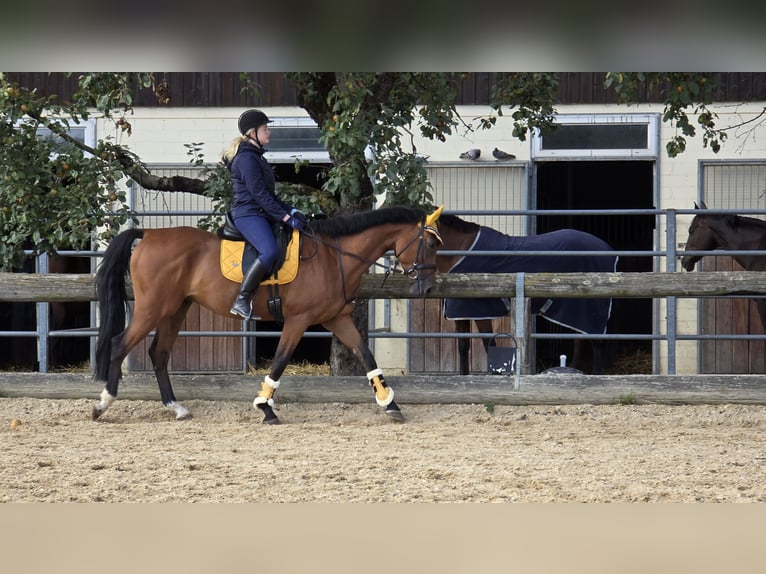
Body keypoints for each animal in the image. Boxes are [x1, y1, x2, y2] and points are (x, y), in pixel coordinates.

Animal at [93, 206, 444, 424]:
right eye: (429, 243)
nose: (428, 288)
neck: (334, 257)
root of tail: (149, 234)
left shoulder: (337, 319)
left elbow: (368, 356)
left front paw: (391, 404)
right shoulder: (299, 320)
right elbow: (280, 360)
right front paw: (265, 408)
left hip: (176, 309)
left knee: (159, 353)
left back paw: (176, 408)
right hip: (154, 307)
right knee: (120, 344)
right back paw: (103, 403)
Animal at [436, 214, 620, 376]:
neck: (463, 251)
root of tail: (607, 249)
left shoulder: (480, 312)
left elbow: (489, 344)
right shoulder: (461, 312)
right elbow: (463, 346)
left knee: (597, 343)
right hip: (576, 310)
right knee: (579, 340)